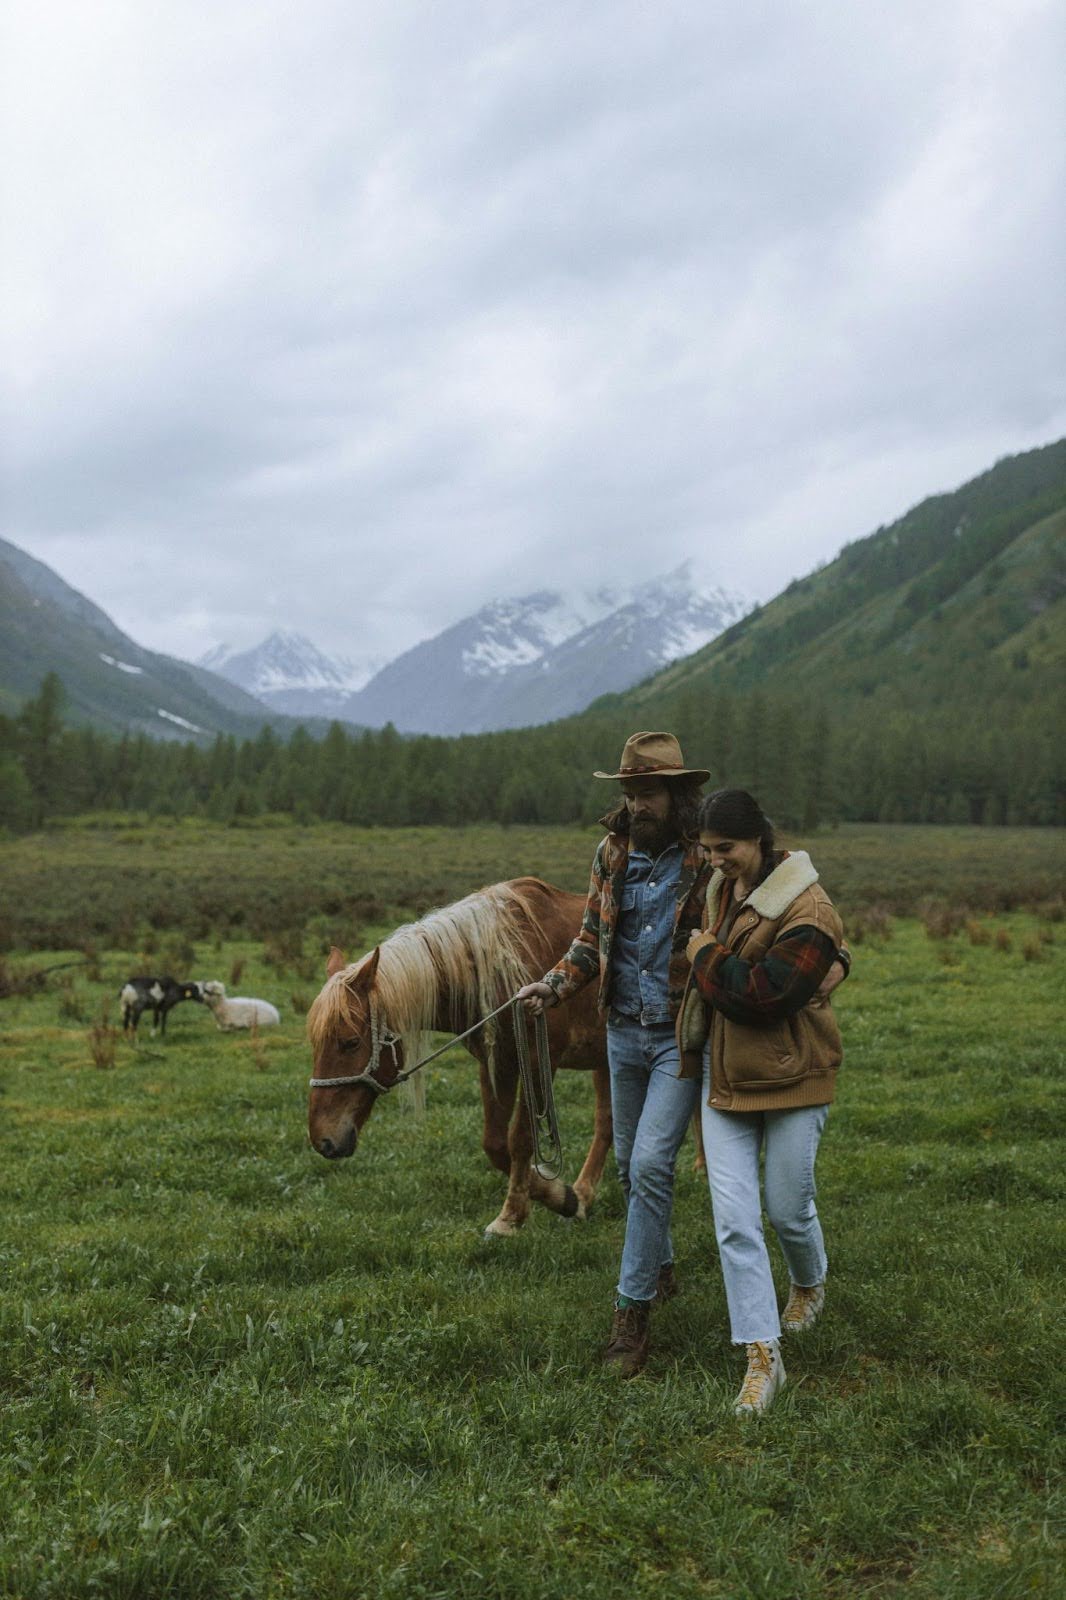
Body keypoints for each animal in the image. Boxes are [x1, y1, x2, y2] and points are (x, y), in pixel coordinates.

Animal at [302, 876, 611, 1235]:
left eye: (350, 1042)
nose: (323, 1140)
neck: (504, 960)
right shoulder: (498, 1063)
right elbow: (495, 1144)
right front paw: (554, 1198)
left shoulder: (537, 1062)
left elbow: (521, 1139)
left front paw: (520, 1213)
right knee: (606, 1123)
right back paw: (583, 1195)